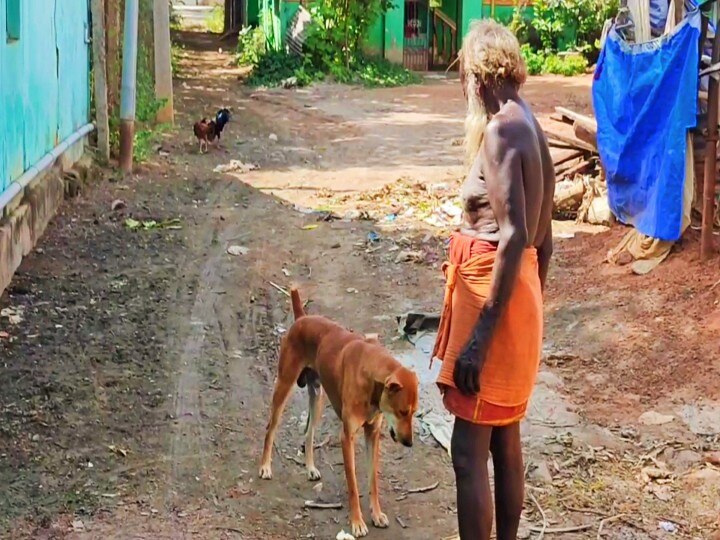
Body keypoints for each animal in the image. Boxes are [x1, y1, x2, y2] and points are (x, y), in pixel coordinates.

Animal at [258, 286, 420, 536]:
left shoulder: (373, 434)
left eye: (413, 412)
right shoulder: (347, 437)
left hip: (317, 398)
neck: (371, 377)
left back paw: (310, 468)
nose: (409, 443)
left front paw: (376, 514)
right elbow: (352, 484)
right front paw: (357, 522)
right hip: (283, 385)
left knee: (309, 433)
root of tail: (302, 317)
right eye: (402, 412)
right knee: (270, 427)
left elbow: (373, 480)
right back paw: (265, 466)